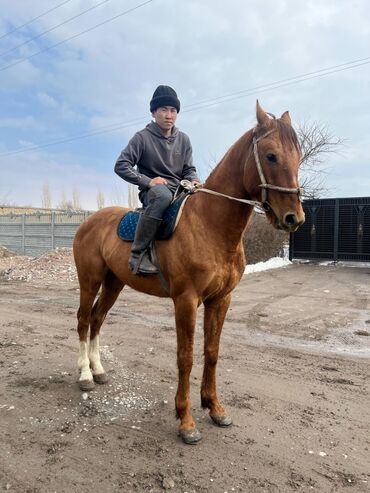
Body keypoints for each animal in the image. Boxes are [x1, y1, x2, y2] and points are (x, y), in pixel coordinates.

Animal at [72, 100, 304, 442]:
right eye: (271, 155)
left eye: (297, 156)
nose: (293, 218)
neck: (211, 225)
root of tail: (88, 221)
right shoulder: (186, 301)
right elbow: (186, 357)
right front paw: (186, 420)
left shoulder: (220, 300)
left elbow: (211, 351)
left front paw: (215, 407)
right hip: (89, 281)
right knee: (84, 320)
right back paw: (85, 374)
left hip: (114, 283)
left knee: (98, 319)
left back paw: (99, 370)